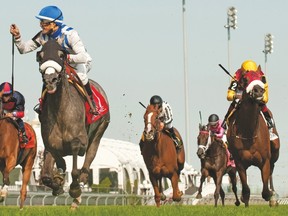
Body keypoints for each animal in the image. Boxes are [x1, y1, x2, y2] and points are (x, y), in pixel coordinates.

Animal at [35, 39, 109, 208]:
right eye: (40, 56)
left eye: (61, 55)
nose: (50, 80)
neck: (60, 110)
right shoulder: (49, 143)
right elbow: (47, 175)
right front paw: (58, 182)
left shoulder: (80, 140)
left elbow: (75, 166)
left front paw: (74, 188)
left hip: (100, 130)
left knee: (88, 160)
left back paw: (78, 192)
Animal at [226, 70, 280, 207]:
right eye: (245, 79)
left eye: (262, 78)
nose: (259, 91)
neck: (248, 132)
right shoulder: (239, 163)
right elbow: (246, 190)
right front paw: (244, 201)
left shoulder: (265, 160)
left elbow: (265, 191)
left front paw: (271, 196)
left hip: (275, 151)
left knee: (272, 170)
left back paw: (273, 196)